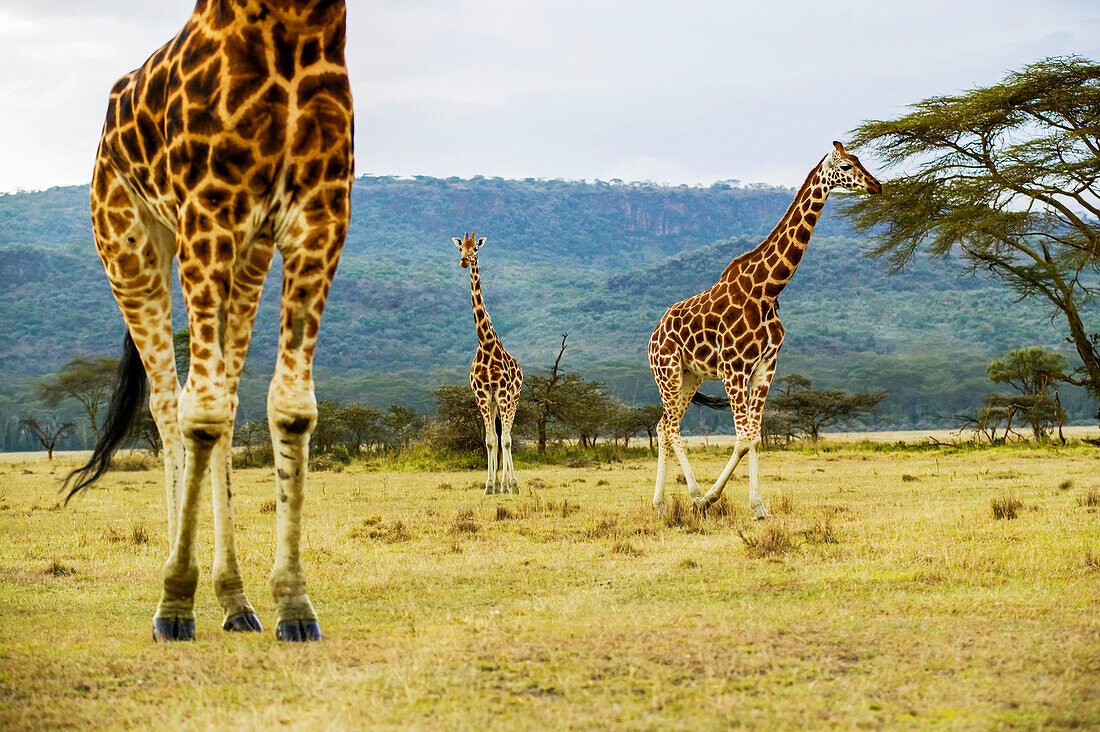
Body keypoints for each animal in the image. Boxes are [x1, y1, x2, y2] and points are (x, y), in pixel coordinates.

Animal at [64, 0, 354, 638]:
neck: (298, 26)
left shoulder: (319, 217)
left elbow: (292, 407)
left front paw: (294, 605)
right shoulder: (209, 212)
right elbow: (199, 410)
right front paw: (174, 602)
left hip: (247, 258)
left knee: (226, 393)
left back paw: (235, 602)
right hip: (130, 247)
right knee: (170, 401)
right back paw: (184, 591)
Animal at [453, 232, 525, 497]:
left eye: (475, 248)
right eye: (460, 248)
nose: (464, 261)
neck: (485, 344)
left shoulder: (503, 393)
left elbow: (505, 440)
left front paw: (509, 485)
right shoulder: (482, 394)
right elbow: (490, 440)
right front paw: (489, 486)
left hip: (513, 399)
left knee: (508, 436)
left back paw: (510, 485)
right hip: (494, 403)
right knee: (498, 435)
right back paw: (499, 484)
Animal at [646, 143, 880, 517]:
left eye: (860, 160)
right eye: (846, 165)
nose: (876, 186)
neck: (767, 291)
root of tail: (653, 335)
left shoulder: (766, 366)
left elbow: (754, 436)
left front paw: (758, 508)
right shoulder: (734, 368)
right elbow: (744, 437)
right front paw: (711, 498)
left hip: (689, 376)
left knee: (664, 425)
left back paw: (667, 502)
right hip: (667, 372)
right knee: (669, 426)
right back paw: (687, 495)